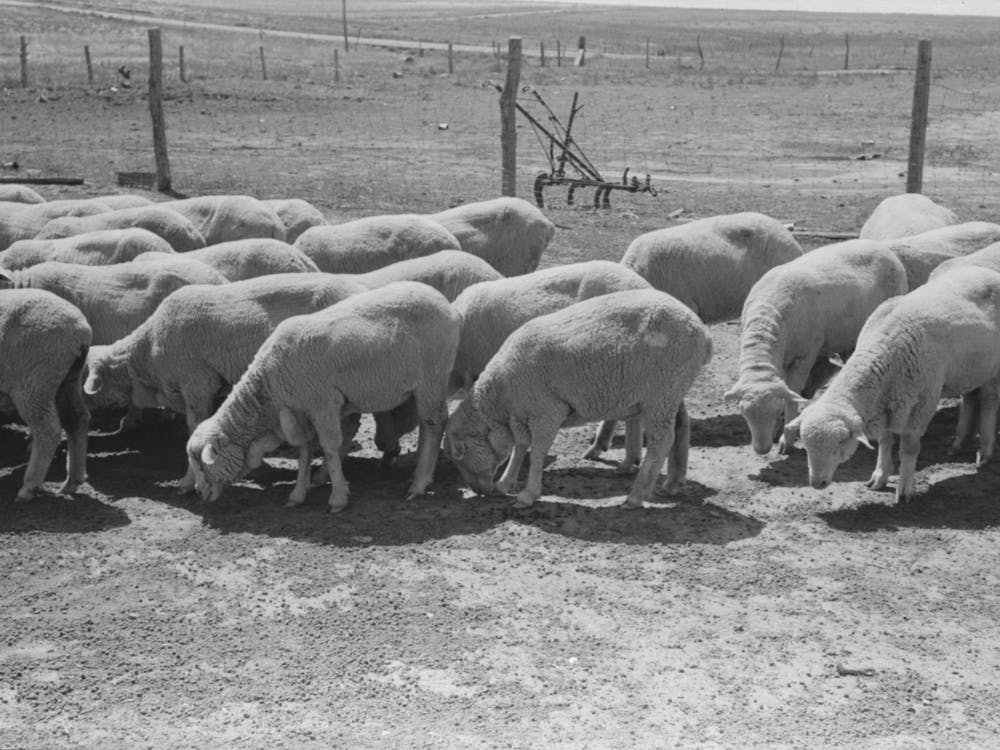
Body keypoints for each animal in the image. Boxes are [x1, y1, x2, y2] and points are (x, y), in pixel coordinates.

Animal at [0, 288, 91, 501]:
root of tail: (80, 330)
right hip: (67, 380)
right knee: (78, 419)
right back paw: (72, 481)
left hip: (35, 381)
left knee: (47, 430)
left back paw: (29, 487)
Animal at [185, 281, 460, 511]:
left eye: (201, 464)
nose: (199, 493)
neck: (267, 386)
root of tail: (446, 305)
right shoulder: (299, 412)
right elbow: (304, 451)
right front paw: (298, 494)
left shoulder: (323, 404)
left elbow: (329, 449)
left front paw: (338, 498)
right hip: (425, 385)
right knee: (426, 425)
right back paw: (420, 474)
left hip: (433, 376)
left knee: (434, 424)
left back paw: (419, 484)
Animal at [446, 289, 712, 509]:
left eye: (460, 457)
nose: (479, 492)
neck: (500, 393)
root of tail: (702, 332)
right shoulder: (521, 415)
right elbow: (520, 447)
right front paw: (506, 482)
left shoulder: (546, 412)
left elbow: (538, 450)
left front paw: (528, 494)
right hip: (669, 391)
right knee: (681, 427)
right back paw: (672, 484)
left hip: (662, 391)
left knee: (662, 440)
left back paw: (636, 496)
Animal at [723, 239, 908, 455]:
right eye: (743, 413)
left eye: (775, 410)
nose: (762, 449)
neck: (767, 316)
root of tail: (882, 247)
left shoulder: (804, 357)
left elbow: (792, 397)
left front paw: (786, 438)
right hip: (847, 335)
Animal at [784, 265, 1000, 503]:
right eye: (805, 446)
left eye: (840, 442)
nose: (817, 483)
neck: (884, 350)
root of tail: (987, 271)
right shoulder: (885, 405)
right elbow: (885, 441)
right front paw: (880, 476)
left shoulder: (923, 403)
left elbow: (908, 448)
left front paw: (905, 488)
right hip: (971, 367)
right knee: (970, 397)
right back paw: (959, 443)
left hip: (993, 368)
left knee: (989, 400)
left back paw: (986, 450)